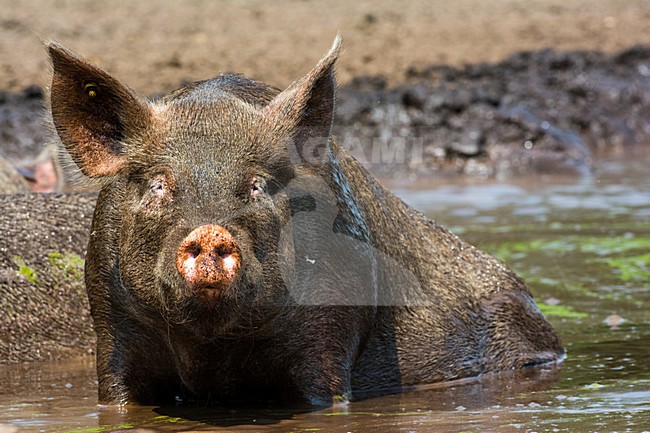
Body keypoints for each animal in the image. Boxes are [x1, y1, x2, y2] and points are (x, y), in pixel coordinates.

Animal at [47, 36, 564, 406]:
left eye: (257, 184)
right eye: (158, 184)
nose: (210, 231)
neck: (211, 348)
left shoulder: (332, 327)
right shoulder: (111, 325)